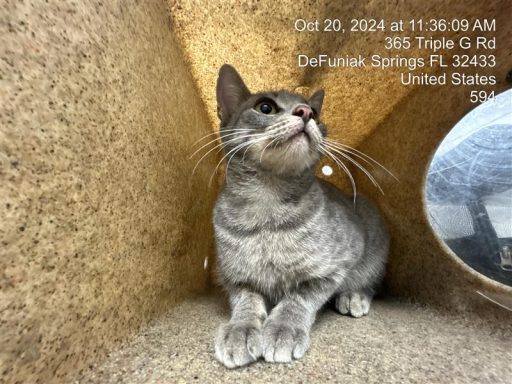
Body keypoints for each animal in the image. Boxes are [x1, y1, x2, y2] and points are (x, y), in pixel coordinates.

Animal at [212, 64, 388, 368]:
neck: (268, 207)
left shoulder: (335, 266)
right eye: (265, 107)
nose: (305, 112)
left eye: (314, 113)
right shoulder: (233, 276)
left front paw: (284, 328)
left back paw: (354, 295)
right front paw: (241, 329)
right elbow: (246, 301)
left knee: (371, 281)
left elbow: (299, 297)